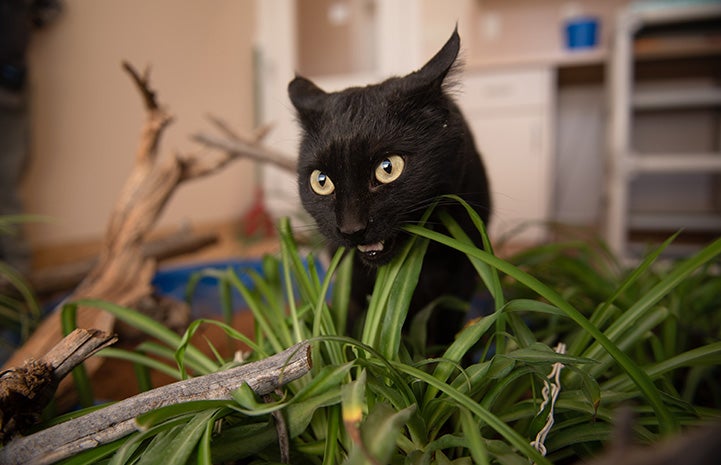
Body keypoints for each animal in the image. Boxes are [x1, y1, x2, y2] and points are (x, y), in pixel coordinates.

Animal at [286, 29, 490, 344]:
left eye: (388, 168)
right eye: (321, 181)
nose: (351, 228)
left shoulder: (464, 269)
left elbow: (446, 325)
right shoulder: (352, 277)